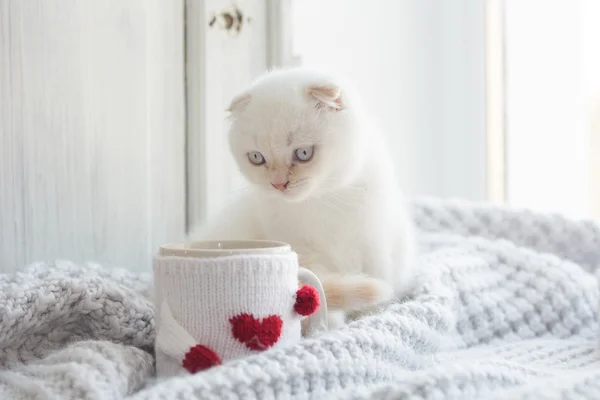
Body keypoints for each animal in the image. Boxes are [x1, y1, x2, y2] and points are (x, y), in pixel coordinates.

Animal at [190, 67, 414, 326]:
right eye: (256, 157)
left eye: (304, 153)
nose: (279, 184)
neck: (321, 201)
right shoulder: (303, 251)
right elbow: (319, 289)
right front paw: (332, 323)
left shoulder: (374, 244)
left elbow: (379, 278)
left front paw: (371, 315)